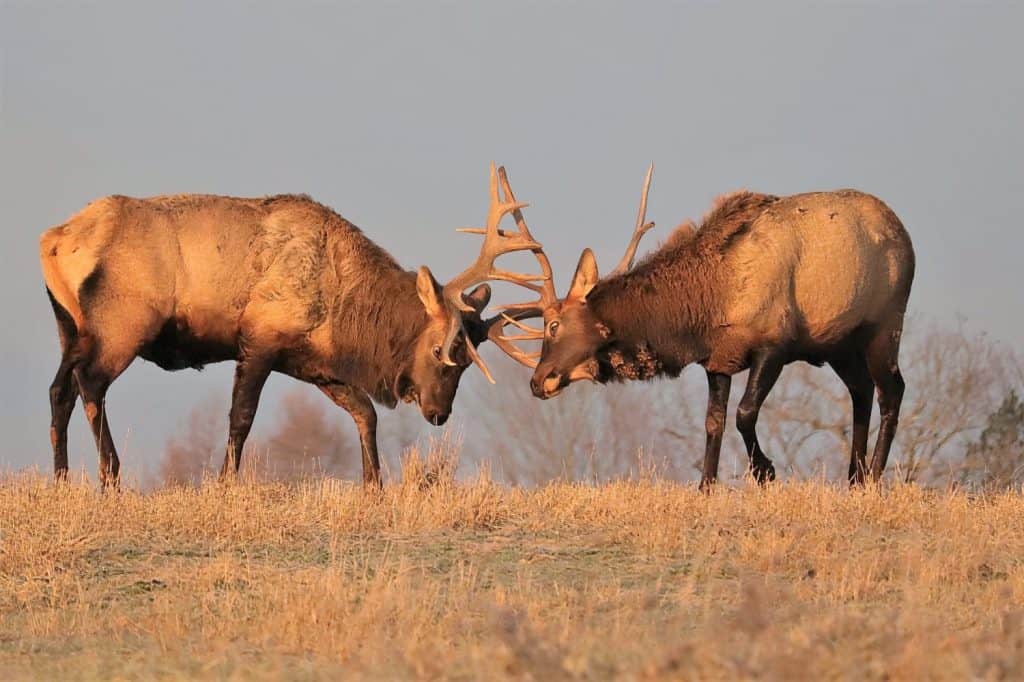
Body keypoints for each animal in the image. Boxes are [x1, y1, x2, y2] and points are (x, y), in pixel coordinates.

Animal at [39, 165, 544, 488]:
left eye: (468, 361)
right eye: (442, 350)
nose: (439, 413)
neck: (347, 317)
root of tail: (53, 241)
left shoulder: (312, 362)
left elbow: (365, 413)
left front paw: (374, 485)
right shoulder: (260, 339)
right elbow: (241, 418)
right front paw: (224, 484)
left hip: (69, 326)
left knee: (60, 388)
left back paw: (61, 479)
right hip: (122, 323)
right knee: (90, 383)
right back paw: (109, 475)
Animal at [465, 167, 916, 488]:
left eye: (554, 325)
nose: (537, 381)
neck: (705, 305)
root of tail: (905, 234)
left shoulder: (775, 344)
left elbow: (744, 414)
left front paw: (765, 471)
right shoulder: (718, 359)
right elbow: (713, 422)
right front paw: (706, 486)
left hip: (885, 324)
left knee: (892, 389)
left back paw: (874, 476)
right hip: (837, 344)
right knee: (860, 389)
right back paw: (854, 476)